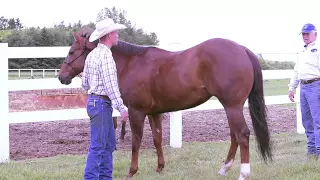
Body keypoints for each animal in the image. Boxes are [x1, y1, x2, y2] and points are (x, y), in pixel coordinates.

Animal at [57, 27, 272, 179]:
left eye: (71, 51)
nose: (61, 77)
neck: (131, 63)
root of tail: (242, 49)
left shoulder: (136, 112)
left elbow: (136, 142)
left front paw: (132, 171)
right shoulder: (155, 113)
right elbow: (157, 139)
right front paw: (160, 167)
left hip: (232, 106)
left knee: (242, 134)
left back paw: (243, 174)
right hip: (230, 107)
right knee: (234, 135)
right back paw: (224, 169)